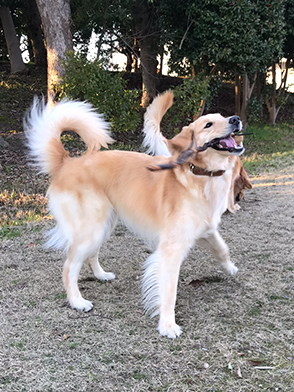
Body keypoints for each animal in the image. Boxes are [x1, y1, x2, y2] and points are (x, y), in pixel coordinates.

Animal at [24, 96, 243, 338]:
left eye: (223, 117)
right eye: (208, 124)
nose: (235, 118)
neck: (199, 174)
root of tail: (67, 162)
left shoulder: (205, 229)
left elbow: (222, 248)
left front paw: (230, 268)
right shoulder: (171, 249)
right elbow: (169, 291)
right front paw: (168, 326)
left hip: (104, 224)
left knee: (90, 255)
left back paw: (101, 275)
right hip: (92, 227)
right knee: (69, 267)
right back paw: (77, 302)